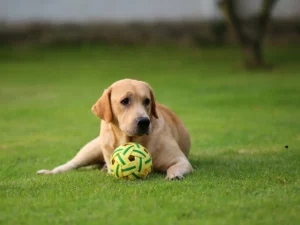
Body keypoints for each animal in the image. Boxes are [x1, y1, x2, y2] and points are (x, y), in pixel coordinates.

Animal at [37, 78, 193, 179]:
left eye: (147, 101)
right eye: (125, 101)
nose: (144, 121)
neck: (131, 140)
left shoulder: (181, 160)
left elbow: (174, 166)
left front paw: (174, 175)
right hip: (91, 150)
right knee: (70, 165)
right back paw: (49, 171)